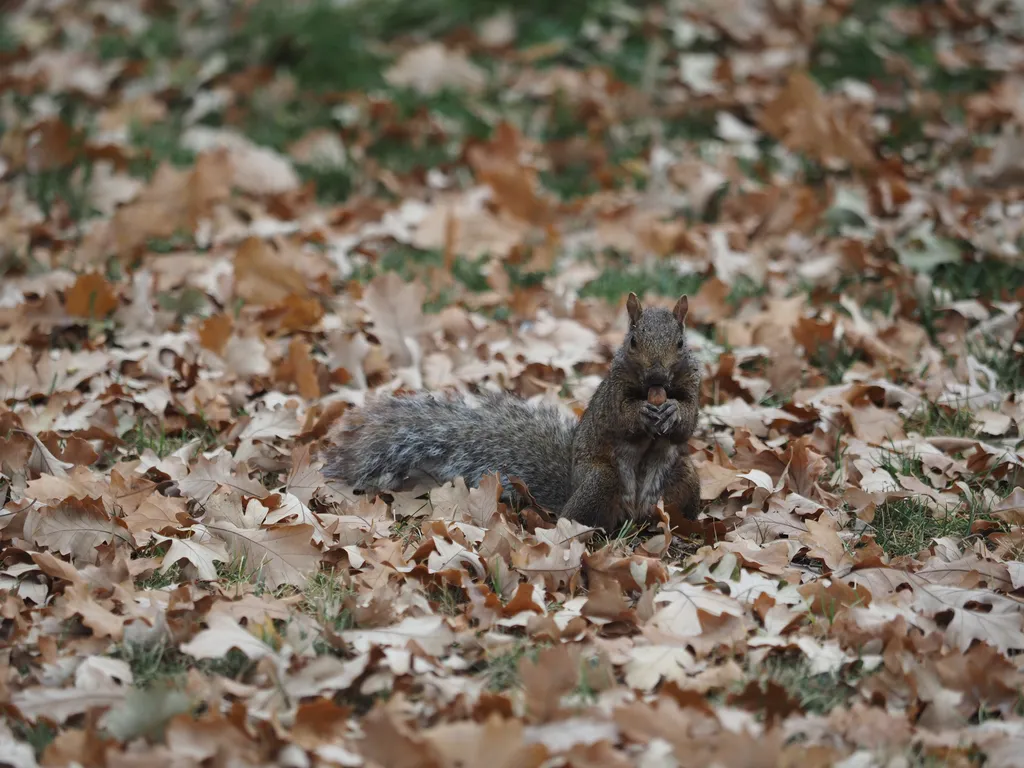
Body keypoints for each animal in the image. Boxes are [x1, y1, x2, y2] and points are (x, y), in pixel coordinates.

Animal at [323, 290, 700, 532]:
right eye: (633, 341)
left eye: (681, 343)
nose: (656, 376)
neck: (651, 390)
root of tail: (632, 514)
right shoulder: (612, 394)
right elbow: (621, 416)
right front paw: (643, 413)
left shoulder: (692, 383)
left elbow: (689, 417)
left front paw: (672, 412)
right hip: (598, 480)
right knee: (573, 517)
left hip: (682, 478)